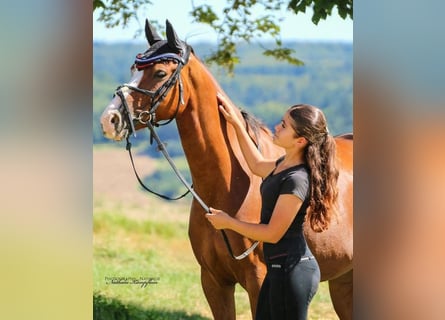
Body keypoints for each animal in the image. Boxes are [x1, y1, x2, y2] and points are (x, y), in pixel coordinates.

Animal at [99, 20, 352, 320]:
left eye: (160, 72)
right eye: (132, 69)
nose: (109, 120)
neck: (230, 186)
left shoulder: (258, 282)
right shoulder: (213, 281)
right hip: (343, 282)